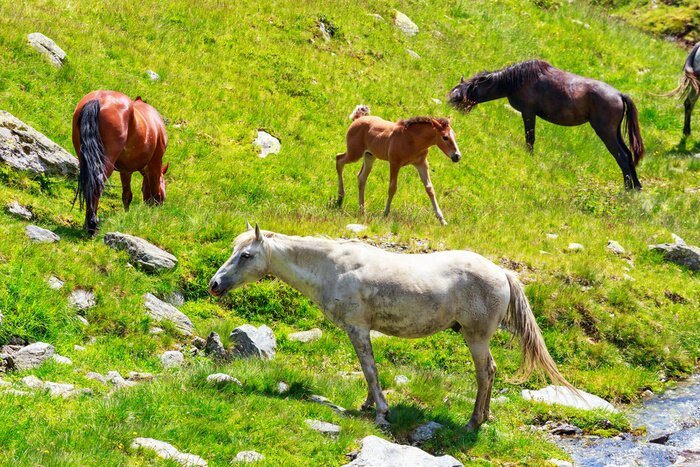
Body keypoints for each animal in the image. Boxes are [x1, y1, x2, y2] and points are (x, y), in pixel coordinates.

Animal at [72, 90, 169, 236]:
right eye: (165, 184)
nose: (158, 208)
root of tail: (97, 100)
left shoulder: (125, 171)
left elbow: (127, 195)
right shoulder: (155, 164)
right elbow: (155, 190)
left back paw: (87, 224)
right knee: (96, 185)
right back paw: (92, 226)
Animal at [208, 223, 573, 430]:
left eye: (246, 255)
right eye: (234, 250)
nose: (214, 284)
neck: (332, 267)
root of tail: (502, 272)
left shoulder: (357, 328)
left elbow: (370, 369)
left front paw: (382, 413)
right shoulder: (360, 330)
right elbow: (367, 369)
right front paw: (368, 405)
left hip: (476, 338)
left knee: (485, 374)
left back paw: (473, 423)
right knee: (492, 373)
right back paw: (485, 417)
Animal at [448, 60, 645, 190]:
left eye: (462, 94)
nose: (450, 109)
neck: (515, 80)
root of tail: (619, 95)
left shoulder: (528, 113)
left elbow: (530, 138)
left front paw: (529, 157)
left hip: (606, 132)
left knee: (621, 157)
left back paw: (627, 189)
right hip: (615, 132)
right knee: (628, 155)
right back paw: (636, 187)